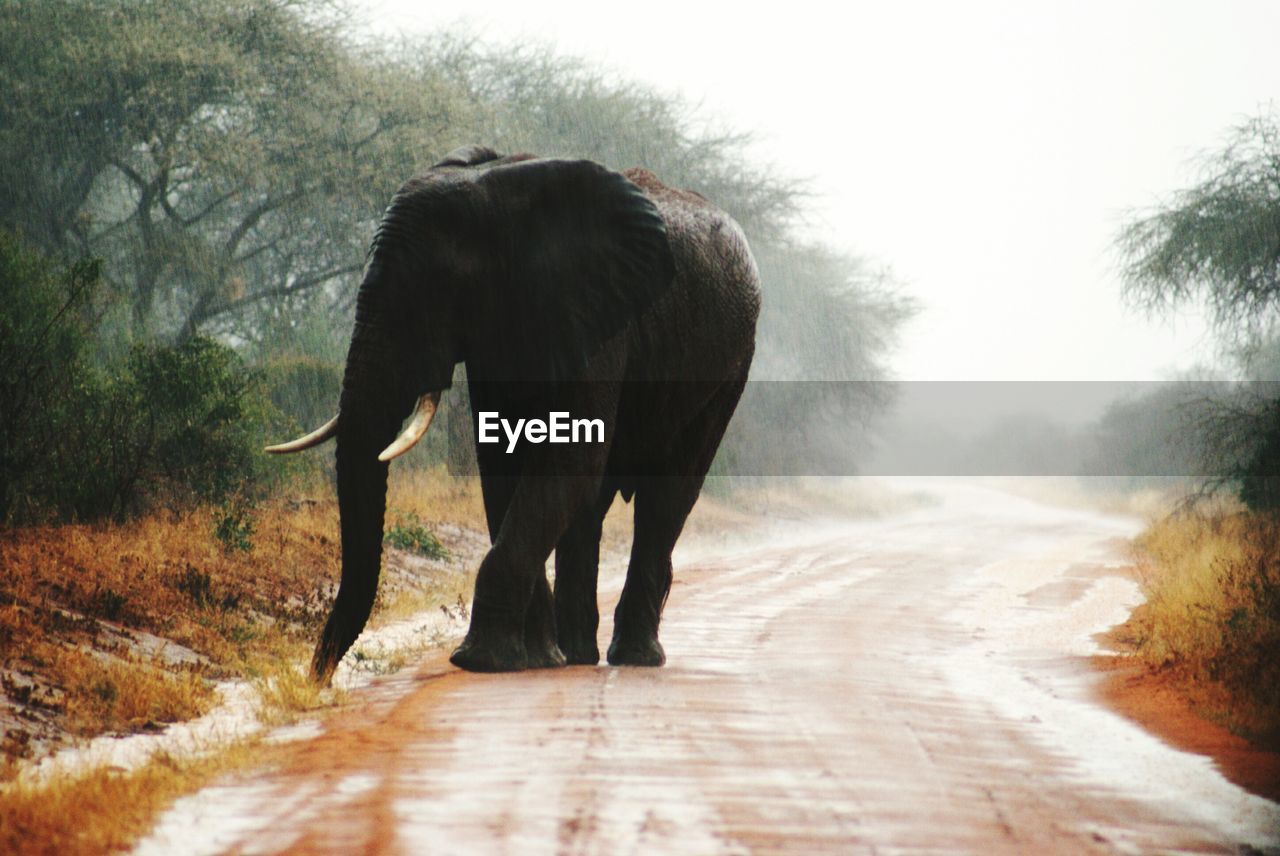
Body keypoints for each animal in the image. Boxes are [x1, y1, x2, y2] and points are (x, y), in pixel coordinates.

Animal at [263, 145, 752, 680]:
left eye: (438, 290)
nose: (319, 681)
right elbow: (502, 460)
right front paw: (532, 658)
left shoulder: (597, 322)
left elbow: (566, 458)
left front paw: (480, 661)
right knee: (592, 506)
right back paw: (575, 656)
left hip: (730, 369)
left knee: (667, 497)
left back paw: (634, 659)